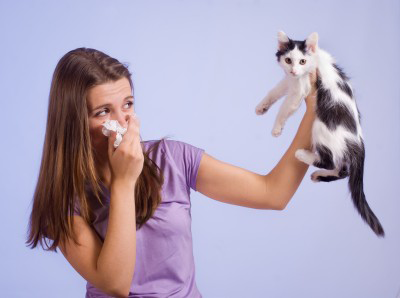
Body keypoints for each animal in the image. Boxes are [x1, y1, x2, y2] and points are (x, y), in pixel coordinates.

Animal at [256, 31, 384, 237]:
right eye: (288, 60)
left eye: (302, 61)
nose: (294, 70)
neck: (314, 61)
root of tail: (358, 142)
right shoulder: (291, 81)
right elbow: (276, 90)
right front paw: (262, 107)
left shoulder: (300, 88)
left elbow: (284, 108)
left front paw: (276, 128)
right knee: (343, 170)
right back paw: (319, 175)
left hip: (321, 126)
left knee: (329, 160)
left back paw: (302, 155)